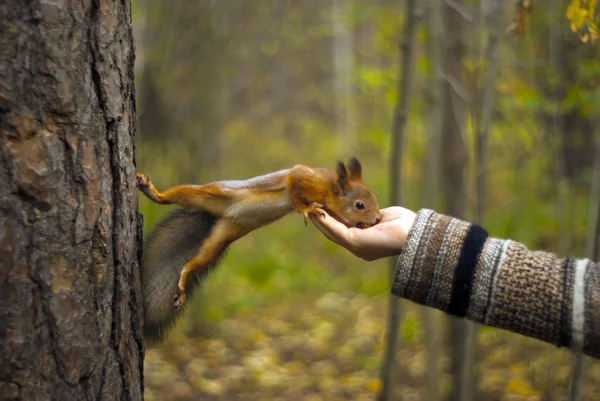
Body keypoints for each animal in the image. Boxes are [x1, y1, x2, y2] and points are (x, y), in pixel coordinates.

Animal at [137, 158, 380, 340]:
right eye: (359, 205)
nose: (378, 219)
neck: (330, 189)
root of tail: (220, 215)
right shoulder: (304, 177)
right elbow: (294, 186)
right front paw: (306, 208)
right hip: (215, 192)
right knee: (181, 194)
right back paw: (154, 192)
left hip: (221, 238)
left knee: (195, 261)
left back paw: (183, 279)